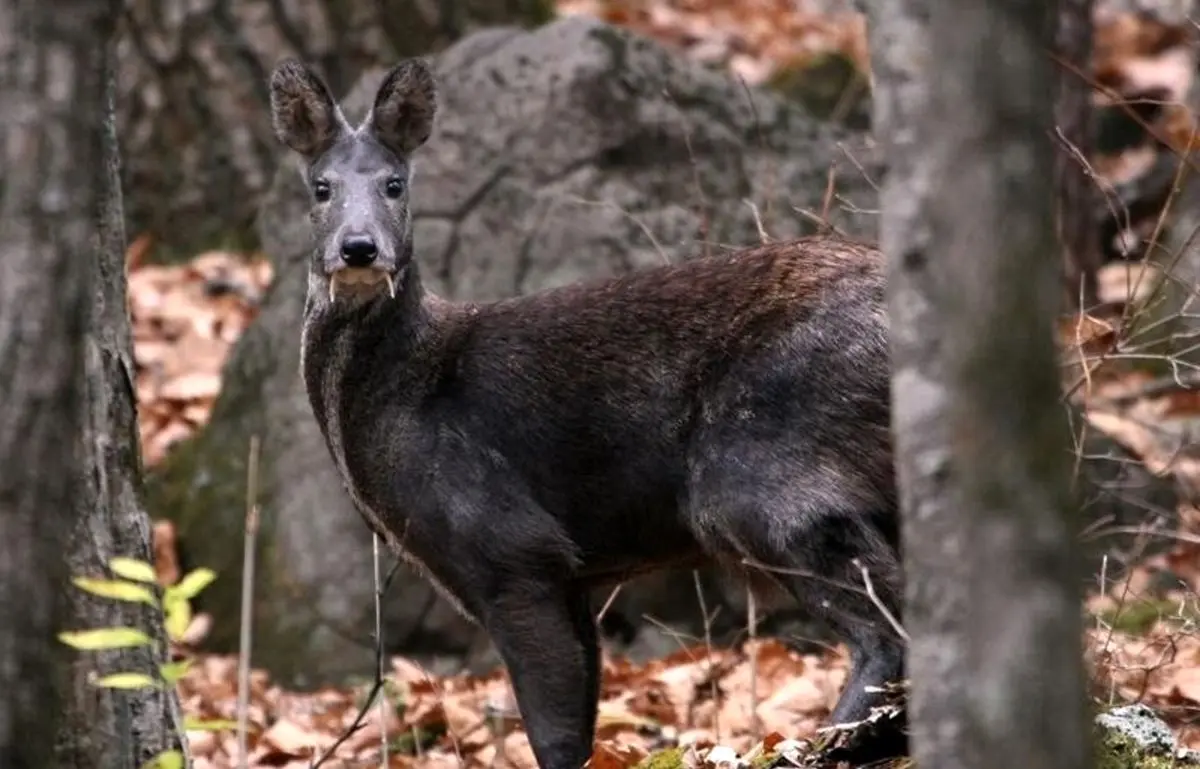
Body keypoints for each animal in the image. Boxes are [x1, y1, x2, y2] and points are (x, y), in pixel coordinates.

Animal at [270, 55, 902, 767]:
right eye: (321, 187)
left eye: (395, 184)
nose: (358, 248)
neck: (407, 391)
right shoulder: (561, 574)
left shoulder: (511, 546)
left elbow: (553, 732)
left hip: (762, 469)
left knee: (886, 626)